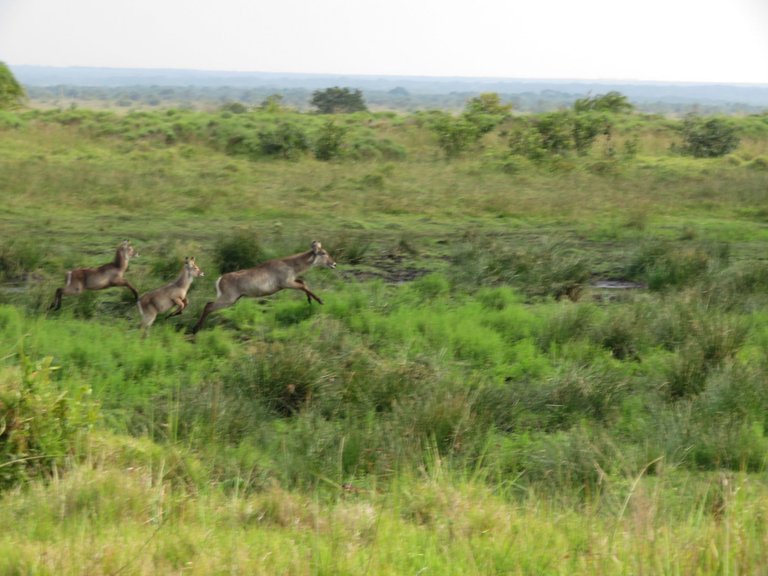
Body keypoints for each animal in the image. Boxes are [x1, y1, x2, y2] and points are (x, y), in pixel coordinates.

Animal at [190, 241, 334, 336]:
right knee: (208, 306)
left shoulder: (291, 281)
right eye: (323, 253)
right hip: (228, 299)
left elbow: (303, 282)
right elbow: (303, 285)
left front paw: (310, 300)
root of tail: (219, 279)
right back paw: (196, 329)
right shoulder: (286, 283)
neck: (291, 265)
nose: (334, 263)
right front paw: (320, 300)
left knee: (208, 304)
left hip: (231, 299)